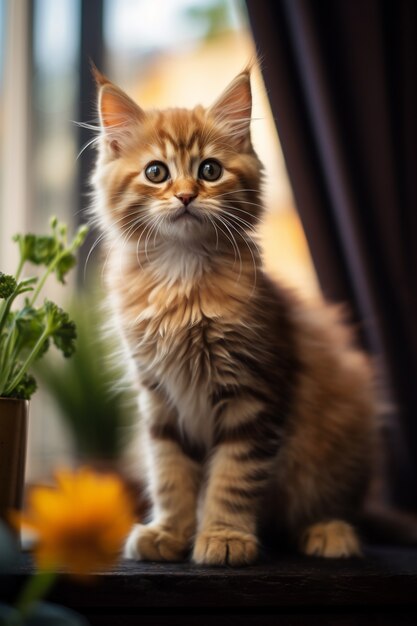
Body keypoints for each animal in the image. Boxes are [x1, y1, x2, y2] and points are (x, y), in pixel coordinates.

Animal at [92, 69, 376, 564]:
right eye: (156, 172)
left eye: (210, 170)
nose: (186, 196)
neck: (182, 275)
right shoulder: (159, 397)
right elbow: (170, 472)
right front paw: (170, 532)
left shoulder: (253, 391)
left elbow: (232, 477)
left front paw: (224, 536)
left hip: (341, 429)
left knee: (329, 503)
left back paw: (328, 532)